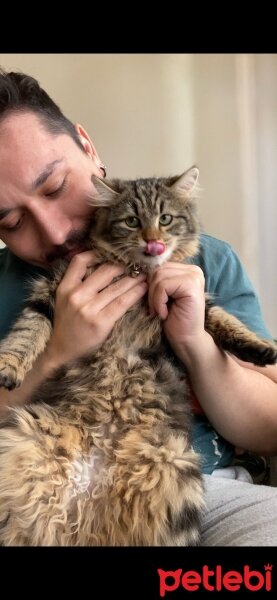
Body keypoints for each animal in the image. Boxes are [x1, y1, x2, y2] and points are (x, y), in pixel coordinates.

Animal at [0, 166, 274, 548]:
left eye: (165, 218)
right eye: (132, 221)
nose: (152, 241)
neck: (136, 271)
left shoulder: (194, 303)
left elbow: (223, 322)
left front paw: (259, 348)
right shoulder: (48, 294)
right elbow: (26, 333)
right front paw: (8, 366)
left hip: (178, 478)